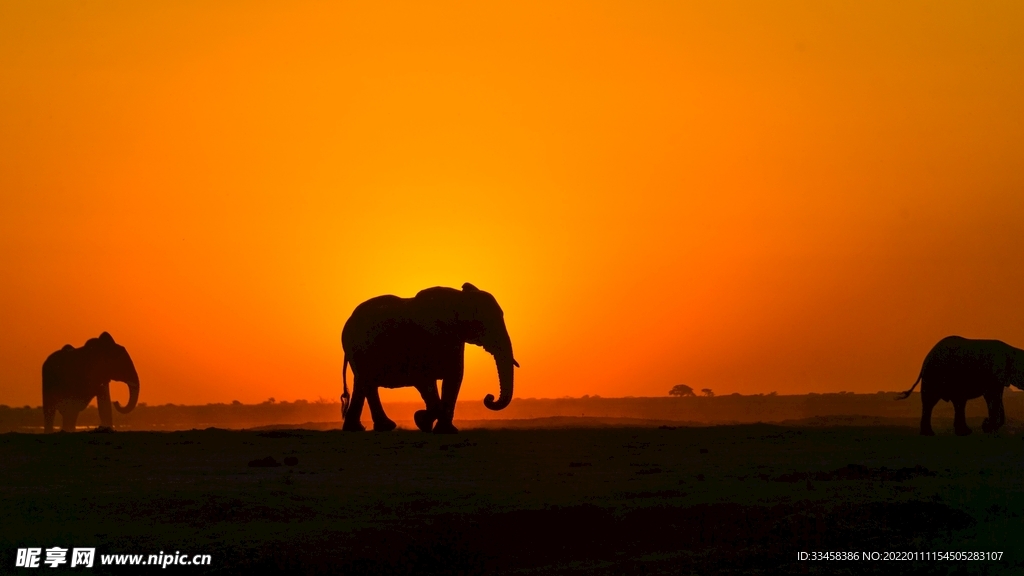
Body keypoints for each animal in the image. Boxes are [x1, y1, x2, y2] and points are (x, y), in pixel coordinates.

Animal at [342, 280, 520, 432]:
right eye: (485, 322)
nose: (489, 397)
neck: (458, 299)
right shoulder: (423, 340)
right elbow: (423, 378)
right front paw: (421, 420)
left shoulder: (455, 340)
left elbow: (454, 378)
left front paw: (444, 431)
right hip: (357, 348)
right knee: (368, 382)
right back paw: (385, 427)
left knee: (361, 383)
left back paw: (357, 429)